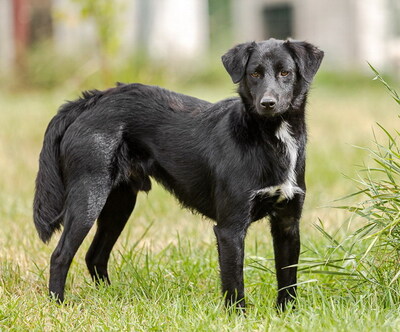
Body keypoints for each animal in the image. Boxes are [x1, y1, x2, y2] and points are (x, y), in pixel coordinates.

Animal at [32, 39, 324, 312]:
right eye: (254, 73)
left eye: (285, 72)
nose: (268, 103)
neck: (269, 137)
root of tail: (91, 100)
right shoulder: (230, 228)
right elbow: (234, 284)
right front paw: (238, 318)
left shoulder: (287, 223)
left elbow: (288, 279)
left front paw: (287, 314)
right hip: (88, 197)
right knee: (60, 255)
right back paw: (58, 305)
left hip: (119, 204)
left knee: (95, 256)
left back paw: (110, 298)